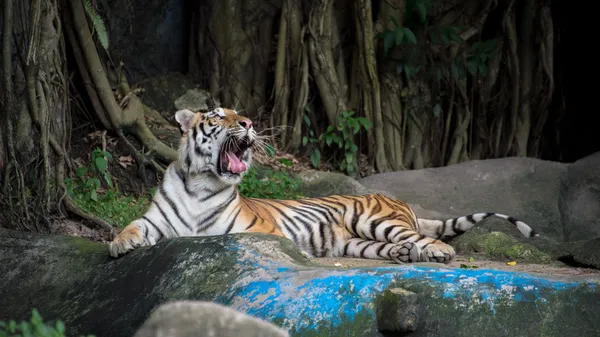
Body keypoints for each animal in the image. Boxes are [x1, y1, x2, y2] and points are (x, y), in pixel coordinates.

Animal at [109, 107, 540, 262]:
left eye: (238, 112)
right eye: (219, 115)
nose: (248, 122)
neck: (201, 182)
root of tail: (402, 203)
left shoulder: (258, 230)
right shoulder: (156, 220)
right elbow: (131, 226)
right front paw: (118, 244)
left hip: (377, 221)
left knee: (429, 239)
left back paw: (436, 253)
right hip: (354, 242)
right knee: (395, 247)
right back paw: (405, 255)